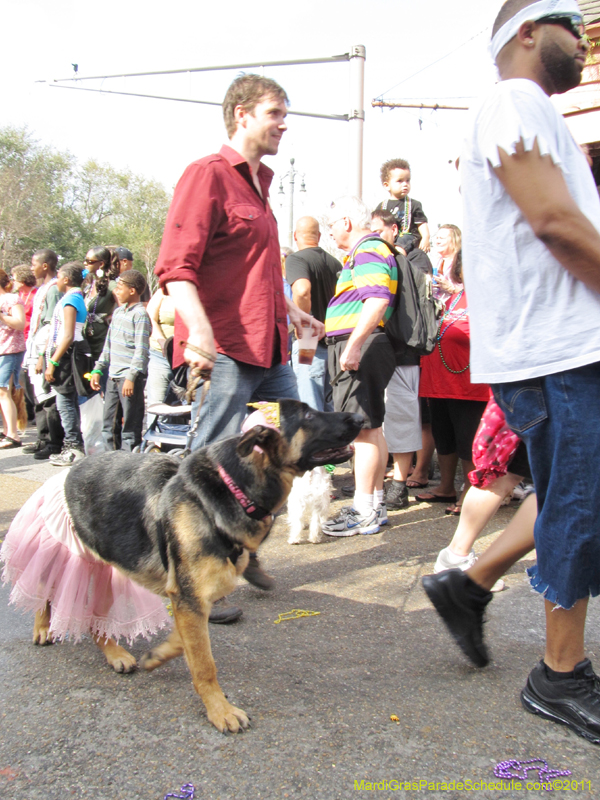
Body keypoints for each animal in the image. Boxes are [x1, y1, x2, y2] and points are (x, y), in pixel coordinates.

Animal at [31, 400, 360, 732]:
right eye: (307, 415)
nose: (361, 417)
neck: (232, 486)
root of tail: (68, 473)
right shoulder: (189, 598)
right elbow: (204, 664)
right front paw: (219, 710)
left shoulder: (192, 598)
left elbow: (186, 642)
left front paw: (158, 656)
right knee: (46, 593)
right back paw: (44, 628)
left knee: (92, 618)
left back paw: (115, 654)